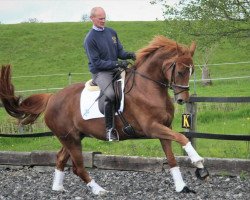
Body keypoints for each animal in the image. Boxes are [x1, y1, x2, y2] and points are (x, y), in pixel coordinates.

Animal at [0, 35, 209, 195]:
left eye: (192, 71)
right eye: (180, 70)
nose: (182, 99)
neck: (147, 87)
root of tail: (52, 98)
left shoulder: (164, 128)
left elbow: (172, 157)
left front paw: (183, 186)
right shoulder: (152, 128)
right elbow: (182, 137)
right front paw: (199, 164)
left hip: (73, 137)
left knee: (60, 158)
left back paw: (58, 188)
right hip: (71, 139)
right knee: (78, 167)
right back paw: (98, 190)